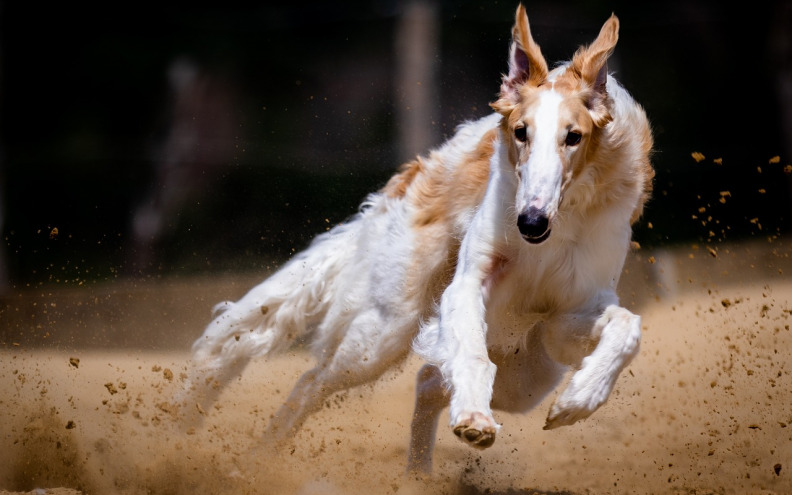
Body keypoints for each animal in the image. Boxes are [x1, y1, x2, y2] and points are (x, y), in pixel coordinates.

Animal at [176, 4, 652, 476]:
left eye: (573, 137)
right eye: (521, 132)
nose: (530, 222)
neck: (557, 228)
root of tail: (421, 169)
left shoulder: (568, 315)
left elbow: (628, 326)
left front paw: (579, 399)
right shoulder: (468, 285)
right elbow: (471, 354)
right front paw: (475, 417)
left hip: (527, 369)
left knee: (429, 379)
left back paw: (418, 476)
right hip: (386, 330)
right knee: (314, 381)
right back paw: (253, 464)